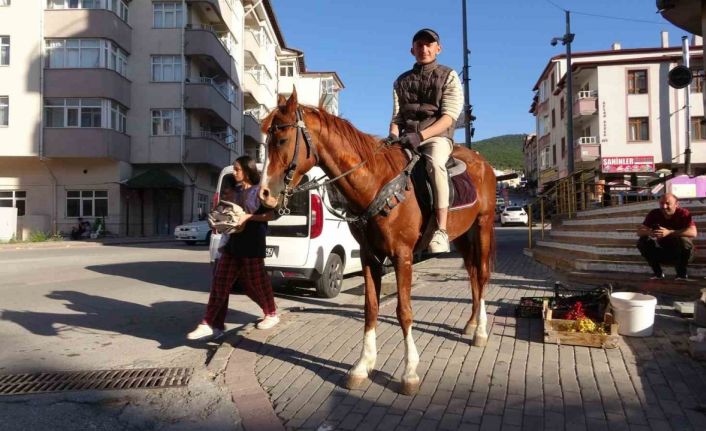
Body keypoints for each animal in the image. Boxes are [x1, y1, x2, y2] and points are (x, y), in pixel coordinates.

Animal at [258, 91, 496, 394]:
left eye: (282, 140)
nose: (264, 193)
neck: (376, 182)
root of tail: (483, 163)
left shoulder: (402, 256)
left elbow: (404, 311)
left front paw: (409, 372)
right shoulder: (370, 257)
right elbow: (371, 308)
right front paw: (362, 365)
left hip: (483, 226)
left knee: (483, 275)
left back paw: (481, 331)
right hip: (464, 236)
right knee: (473, 275)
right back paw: (471, 323)